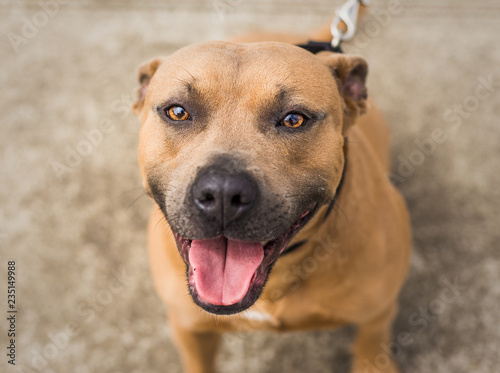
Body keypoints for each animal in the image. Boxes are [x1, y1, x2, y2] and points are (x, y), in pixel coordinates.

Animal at [132, 14, 410, 372]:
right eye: (177, 112)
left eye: (293, 119)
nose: (223, 193)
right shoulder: (190, 329)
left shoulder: (376, 318)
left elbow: (371, 347)